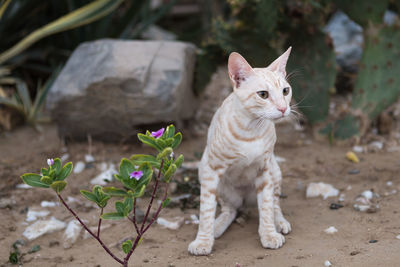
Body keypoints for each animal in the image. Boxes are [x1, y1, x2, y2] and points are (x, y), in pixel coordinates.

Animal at [188, 47, 294, 255]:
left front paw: (269, 234)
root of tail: (246, 202)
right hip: (206, 173)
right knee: (230, 209)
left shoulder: (265, 169)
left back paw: (279, 223)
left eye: (285, 91)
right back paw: (217, 227)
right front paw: (203, 241)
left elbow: (267, 207)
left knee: (274, 204)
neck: (251, 130)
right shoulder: (211, 172)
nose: (283, 108)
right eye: (263, 94)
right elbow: (206, 211)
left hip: (275, 172)